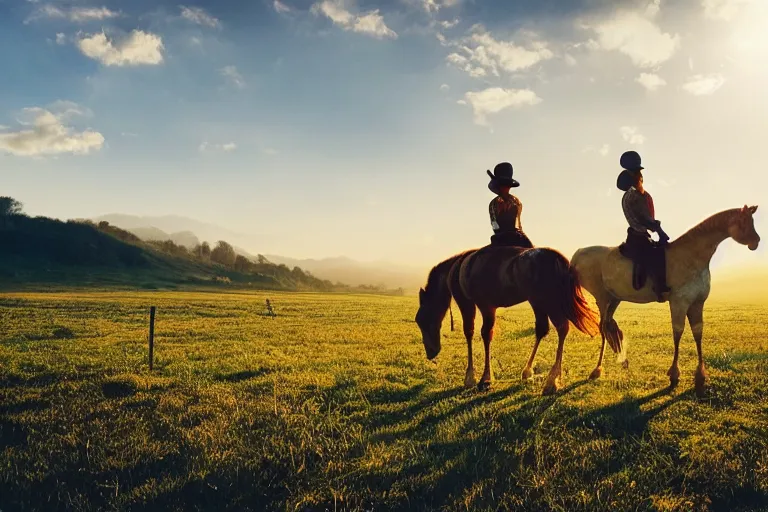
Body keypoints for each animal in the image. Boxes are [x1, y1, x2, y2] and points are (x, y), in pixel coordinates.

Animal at [414, 244, 600, 396]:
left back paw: (551, 381)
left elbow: (476, 333)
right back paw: (529, 371)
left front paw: (479, 378)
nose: (430, 352)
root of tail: (557, 258)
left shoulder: (473, 303)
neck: (457, 269)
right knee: (544, 329)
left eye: (421, 320)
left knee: (561, 327)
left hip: (547, 301)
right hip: (538, 301)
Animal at [572, 204, 760, 396]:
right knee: (602, 327)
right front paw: (674, 375)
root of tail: (579, 253)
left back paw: (622, 361)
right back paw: (597, 370)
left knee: (609, 325)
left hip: (614, 299)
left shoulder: (697, 303)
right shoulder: (679, 303)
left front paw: (700, 377)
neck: (691, 255)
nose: (756, 242)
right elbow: (678, 333)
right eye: (744, 221)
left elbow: (697, 333)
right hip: (602, 298)